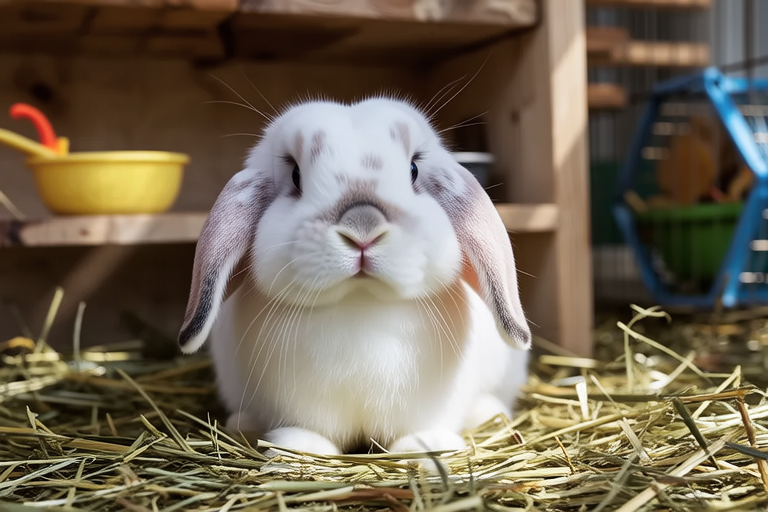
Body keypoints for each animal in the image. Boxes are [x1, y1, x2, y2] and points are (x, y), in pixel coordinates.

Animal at [178, 97, 532, 458]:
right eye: (295, 175)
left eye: (414, 170)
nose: (363, 226)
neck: (360, 304)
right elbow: (307, 428)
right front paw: (297, 451)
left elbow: (424, 426)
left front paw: (426, 449)